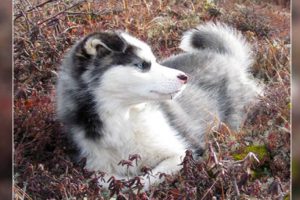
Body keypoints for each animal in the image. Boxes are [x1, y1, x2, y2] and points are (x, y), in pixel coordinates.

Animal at [55, 22, 260, 189]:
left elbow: (148, 178)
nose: (185, 77)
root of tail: (224, 56)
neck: (124, 119)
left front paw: (131, 183)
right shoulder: (92, 165)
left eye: (154, 60)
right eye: (141, 65)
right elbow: (101, 178)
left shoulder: (184, 152)